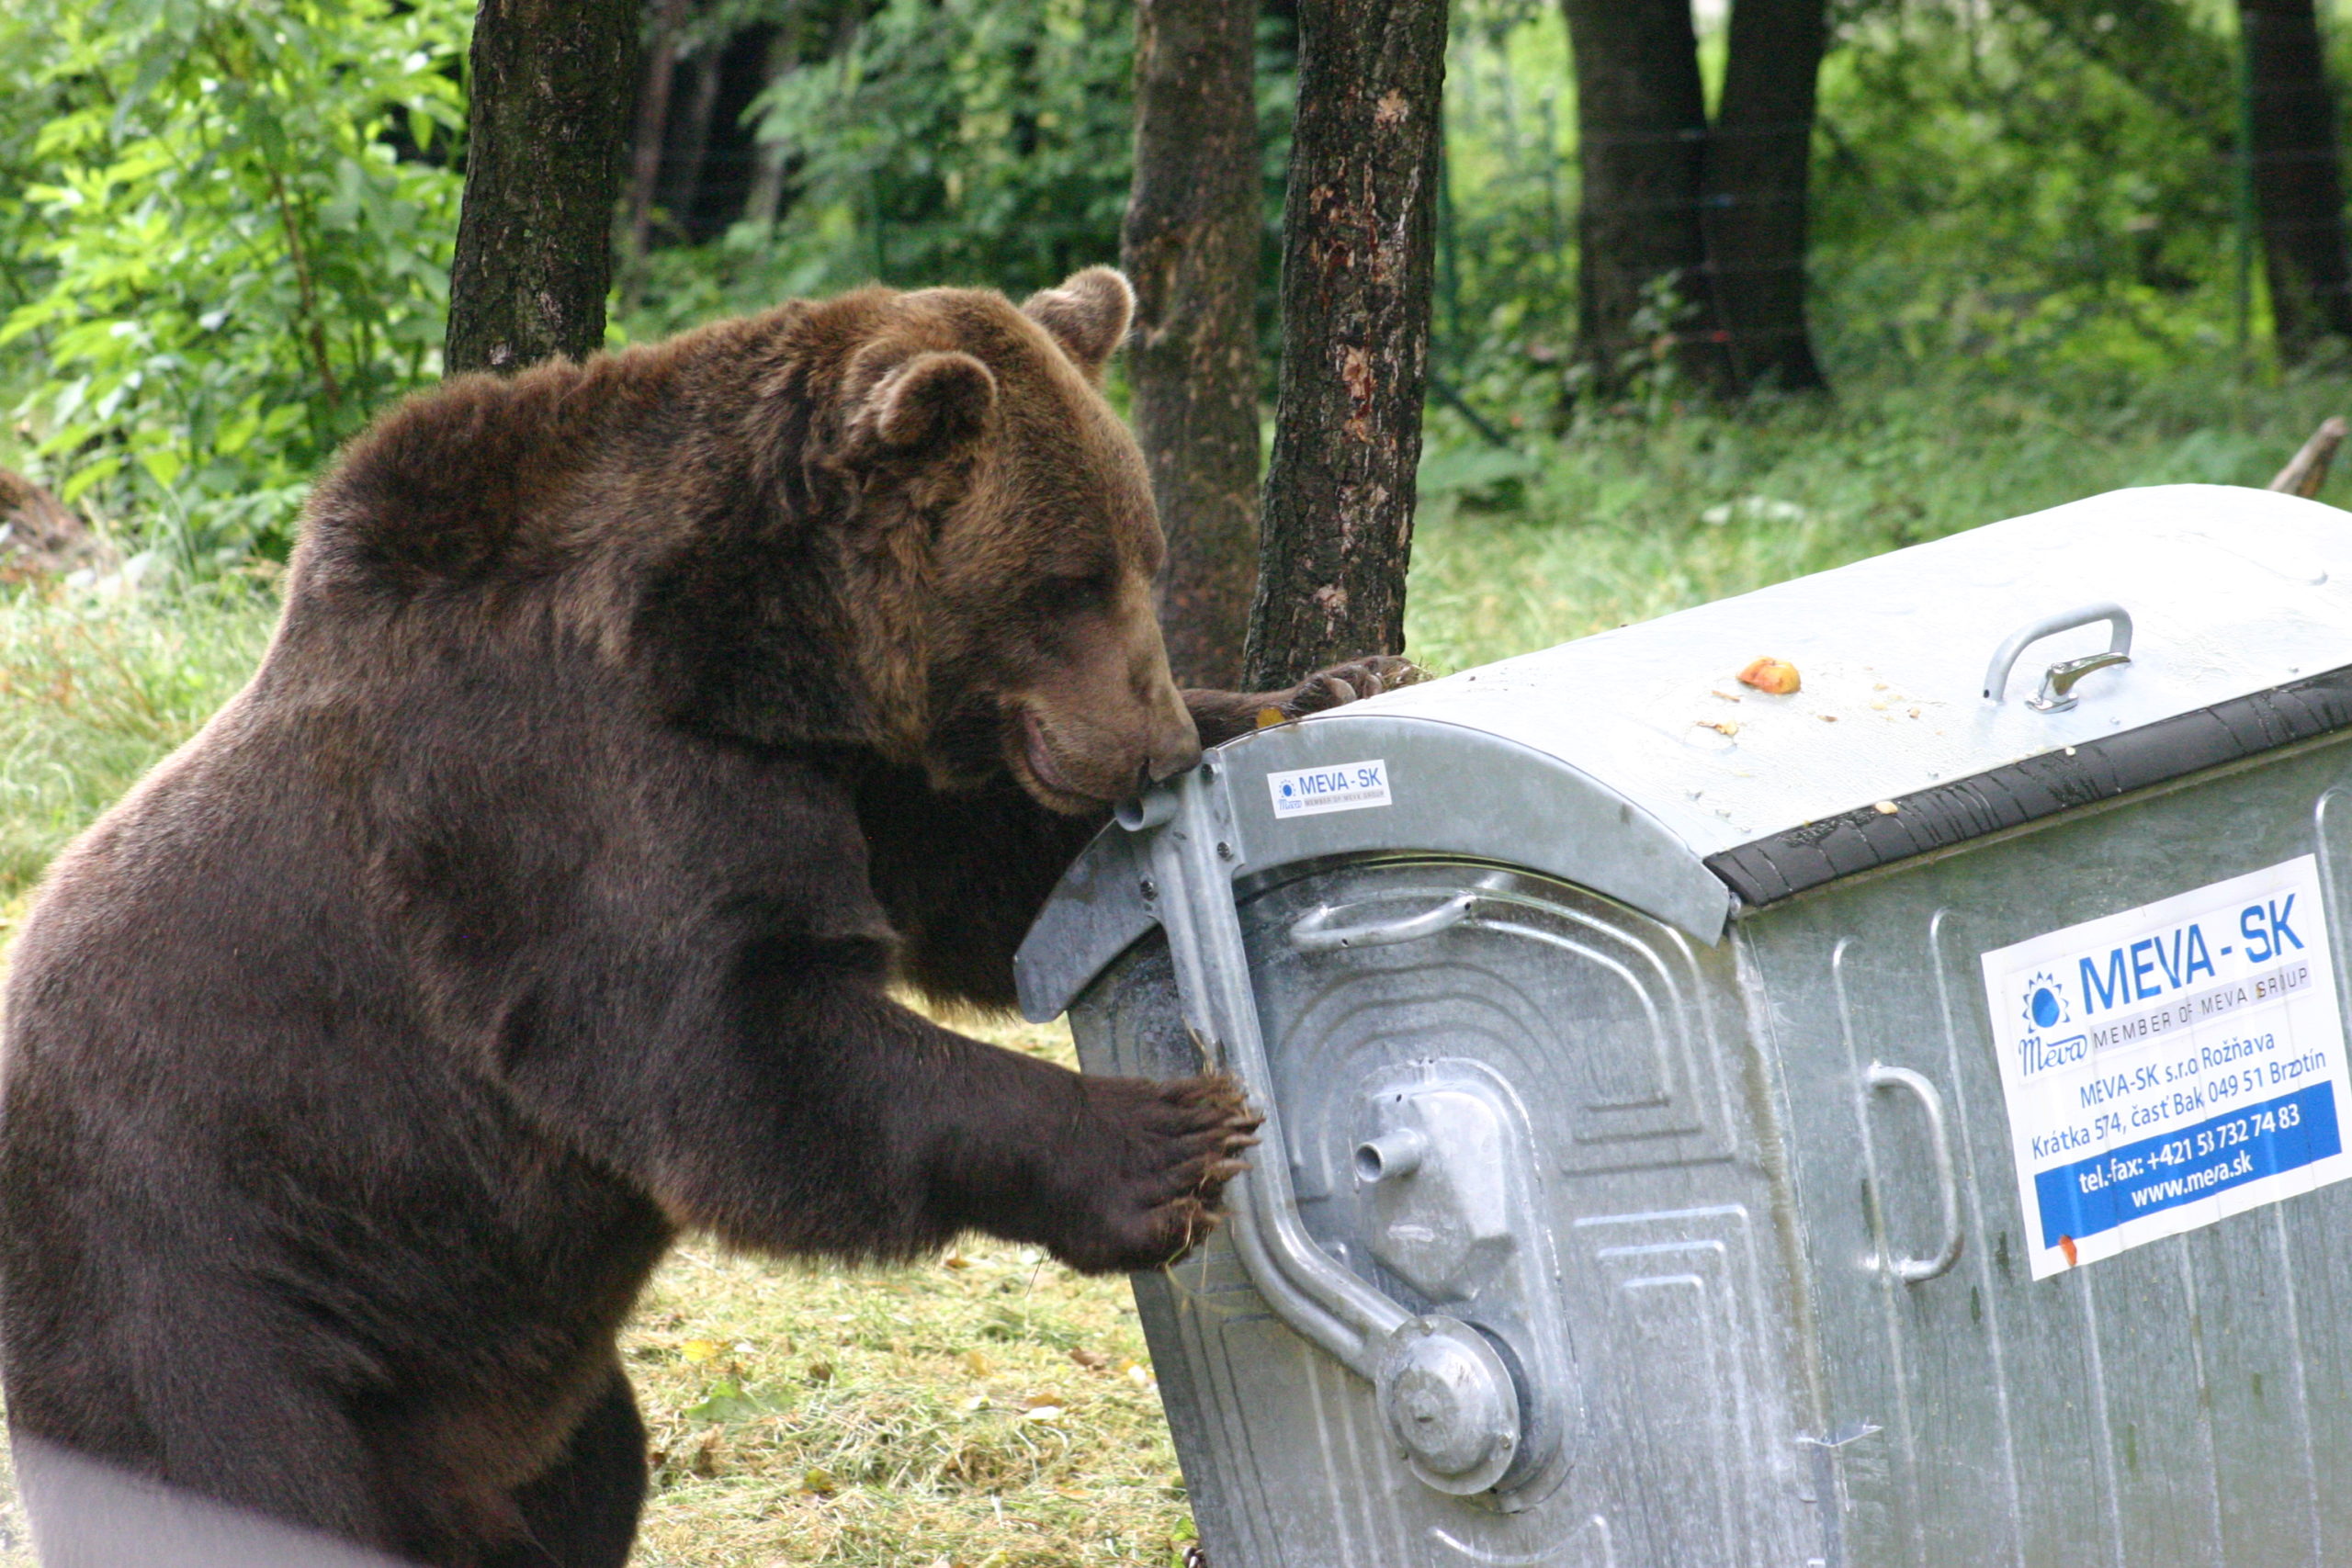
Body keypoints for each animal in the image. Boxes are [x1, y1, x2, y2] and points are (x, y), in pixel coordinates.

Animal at [0, 272, 1392, 1568]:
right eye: (1069, 581)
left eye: (1141, 559)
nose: (1150, 748)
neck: (746, 665)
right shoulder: (567, 802)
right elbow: (730, 1048)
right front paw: (1167, 1139)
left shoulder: (843, 781)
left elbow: (983, 886)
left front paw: (1330, 681)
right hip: (206, 1291)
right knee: (243, 1485)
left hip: (490, 1385)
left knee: (593, 1468)